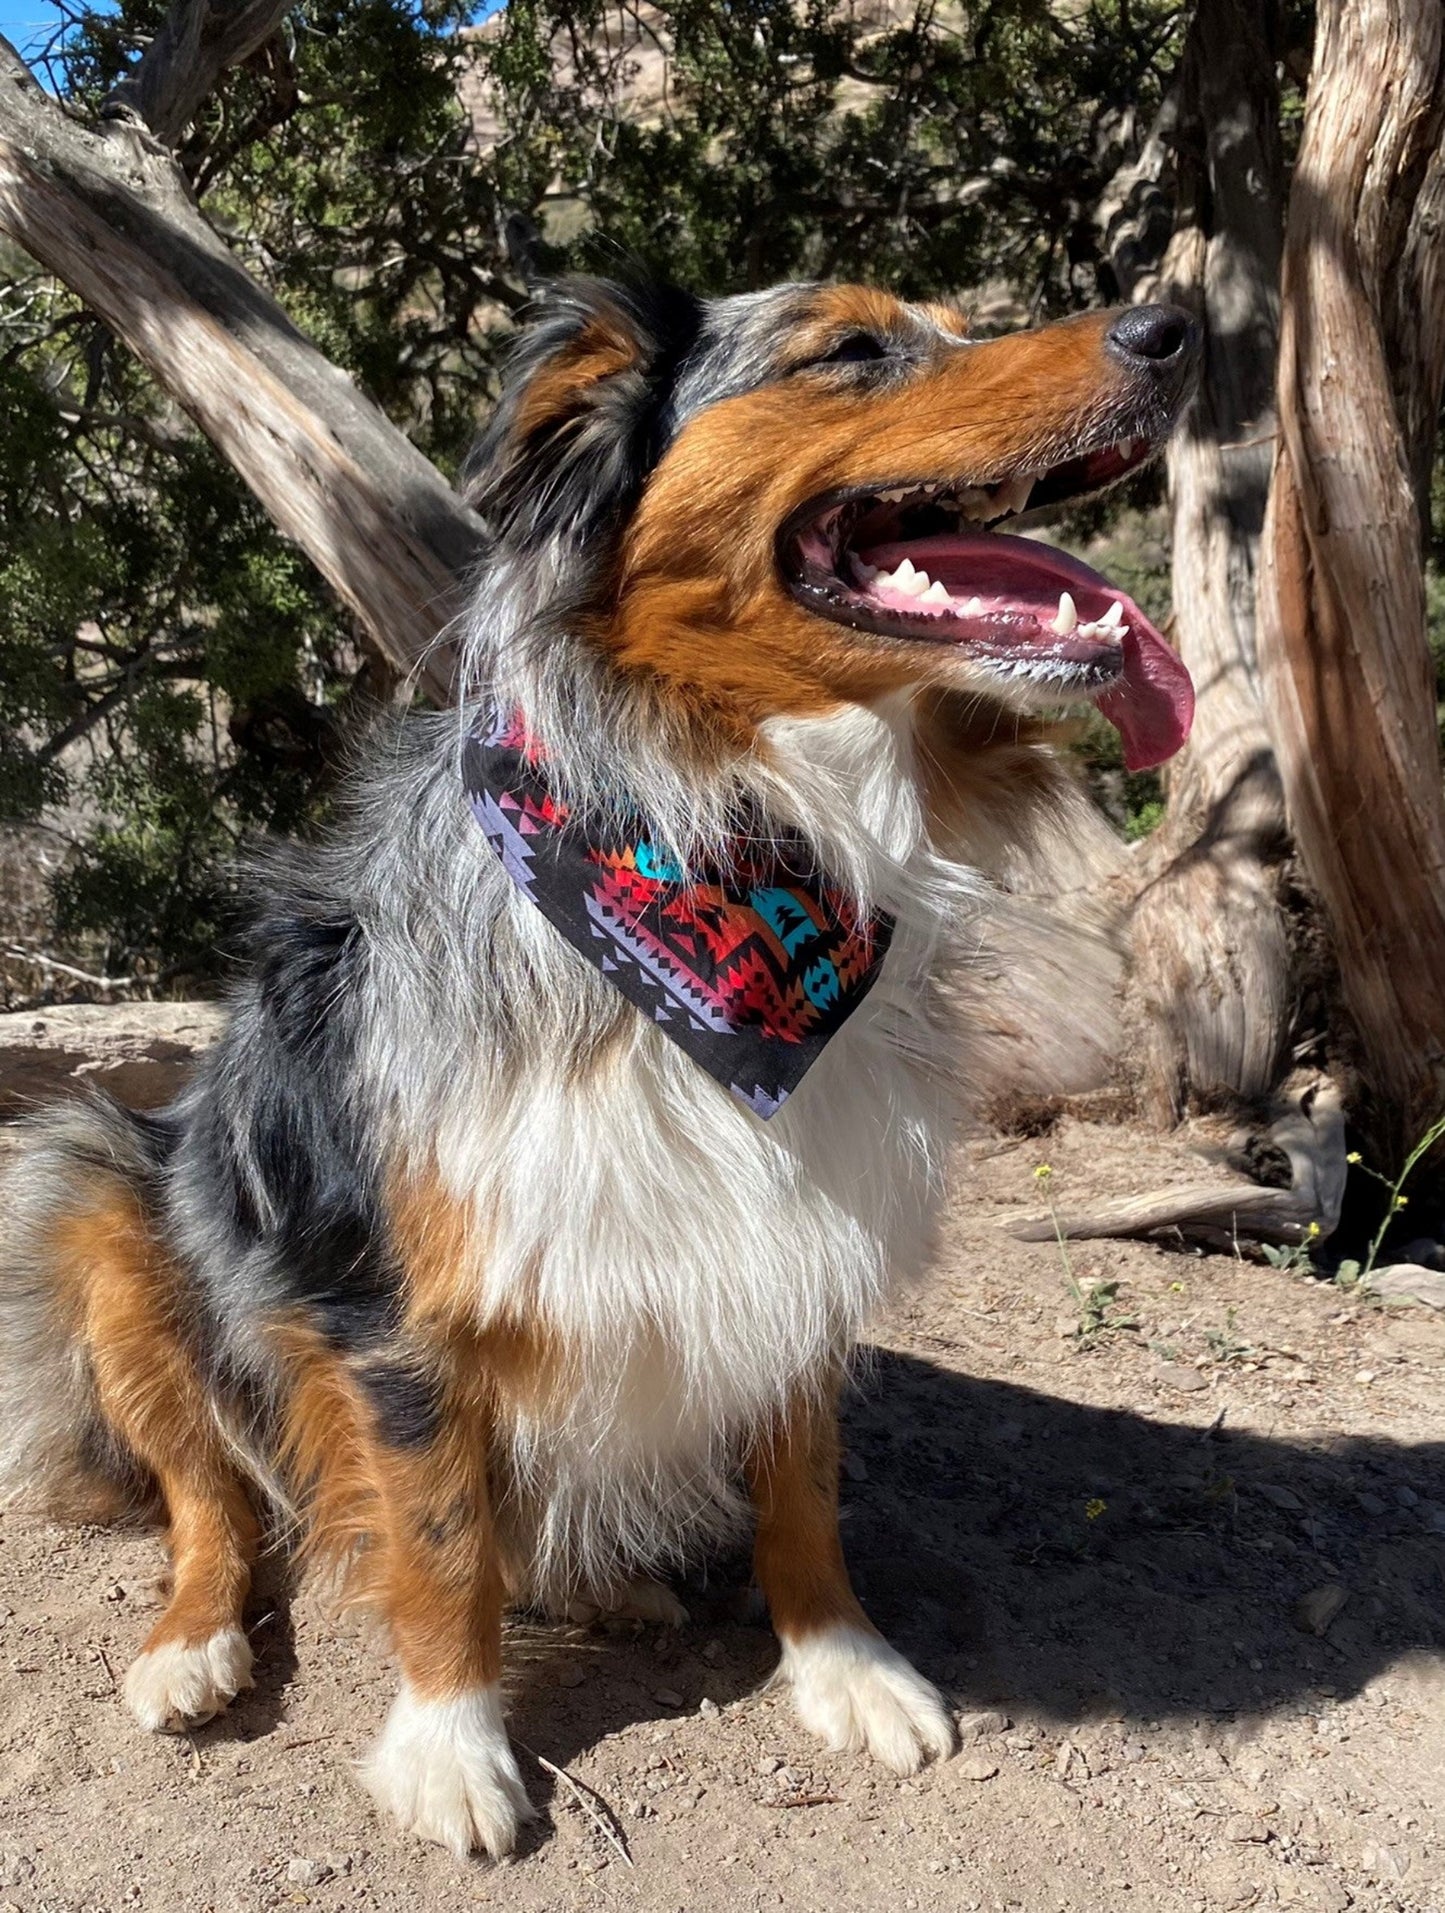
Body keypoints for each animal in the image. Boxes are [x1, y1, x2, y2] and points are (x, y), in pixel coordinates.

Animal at [0, 277, 1201, 1859]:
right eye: (848, 349)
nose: (1176, 326)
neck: (728, 836)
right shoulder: (397, 1314)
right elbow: (441, 1539)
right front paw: (453, 1746)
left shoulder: (807, 1234)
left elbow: (802, 1490)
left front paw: (844, 1663)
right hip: (93, 1191)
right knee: (211, 1494)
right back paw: (191, 1647)